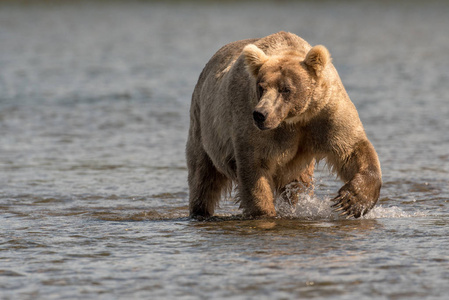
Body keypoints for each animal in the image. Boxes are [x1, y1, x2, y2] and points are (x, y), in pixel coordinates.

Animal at [186, 31, 382, 219]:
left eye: (286, 89)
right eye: (261, 87)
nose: (260, 114)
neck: (295, 118)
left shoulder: (326, 112)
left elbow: (352, 147)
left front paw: (352, 201)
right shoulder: (253, 126)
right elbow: (255, 167)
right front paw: (265, 212)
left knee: (298, 184)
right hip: (204, 128)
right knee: (203, 176)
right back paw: (200, 210)